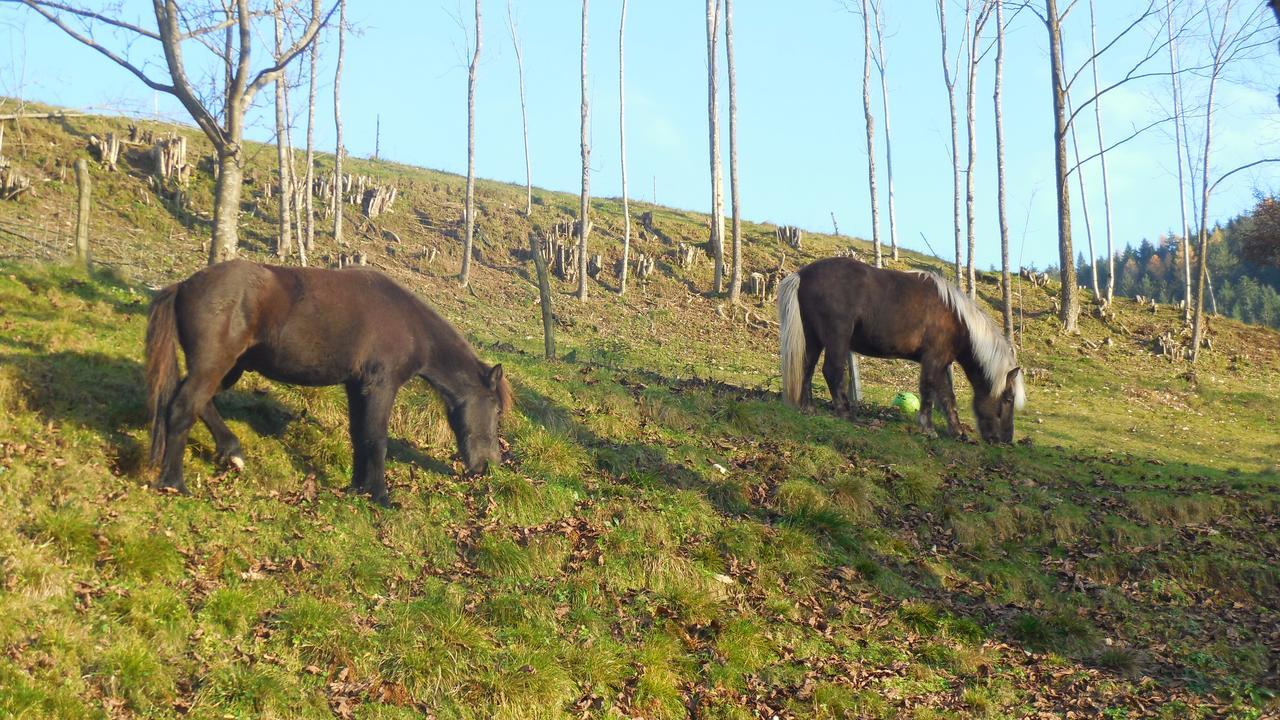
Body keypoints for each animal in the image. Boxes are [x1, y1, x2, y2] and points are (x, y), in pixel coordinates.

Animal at [144, 258, 509, 504]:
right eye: (495, 409)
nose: (488, 465)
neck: (410, 324)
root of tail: (184, 285)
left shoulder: (357, 387)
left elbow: (360, 435)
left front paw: (358, 487)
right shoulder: (381, 386)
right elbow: (377, 438)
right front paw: (380, 496)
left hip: (227, 370)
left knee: (199, 403)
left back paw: (232, 452)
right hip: (214, 367)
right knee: (183, 408)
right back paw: (174, 482)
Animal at [773, 254, 1024, 440]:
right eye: (1008, 399)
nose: (1005, 440)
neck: (956, 317)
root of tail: (802, 274)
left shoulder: (941, 363)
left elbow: (946, 396)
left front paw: (957, 432)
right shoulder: (932, 360)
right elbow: (928, 390)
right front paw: (928, 428)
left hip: (813, 338)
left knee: (806, 368)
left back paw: (808, 408)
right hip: (837, 339)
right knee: (832, 371)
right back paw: (847, 415)